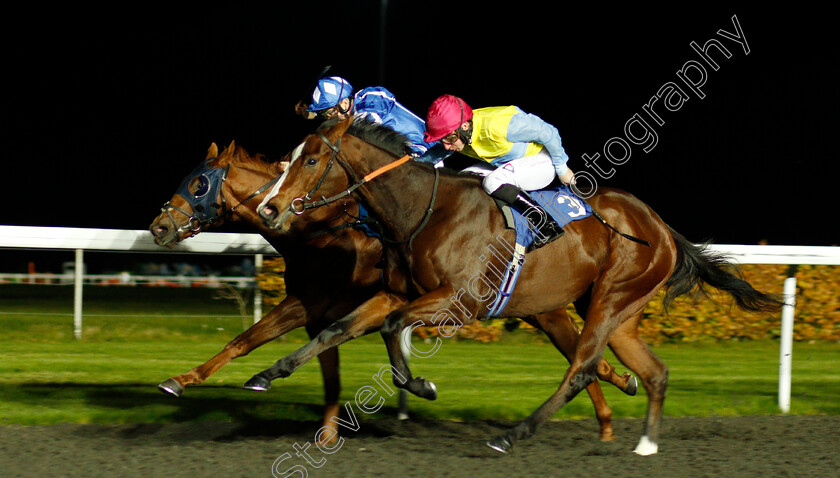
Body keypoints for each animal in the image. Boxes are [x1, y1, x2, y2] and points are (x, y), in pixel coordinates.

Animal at [148, 140, 632, 442]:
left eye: (197, 183)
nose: (159, 227)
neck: (318, 232)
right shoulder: (318, 313)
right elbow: (255, 345)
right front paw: (179, 381)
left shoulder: (310, 304)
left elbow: (268, 346)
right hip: (537, 308)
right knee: (586, 357)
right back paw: (616, 400)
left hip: (541, 308)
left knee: (582, 355)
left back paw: (611, 406)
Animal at [254, 116, 780, 456]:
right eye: (290, 158)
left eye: (313, 160)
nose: (269, 208)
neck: (424, 210)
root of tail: (660, 226)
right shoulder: (398, 292)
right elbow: (336, 328)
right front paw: (268, 372)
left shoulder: (457, 303)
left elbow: (392, 328)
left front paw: (422, 384)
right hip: (620, 311)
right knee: (653, 372)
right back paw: (646, 443)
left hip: (611, 299)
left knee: (582, 369)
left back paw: (513, 433)